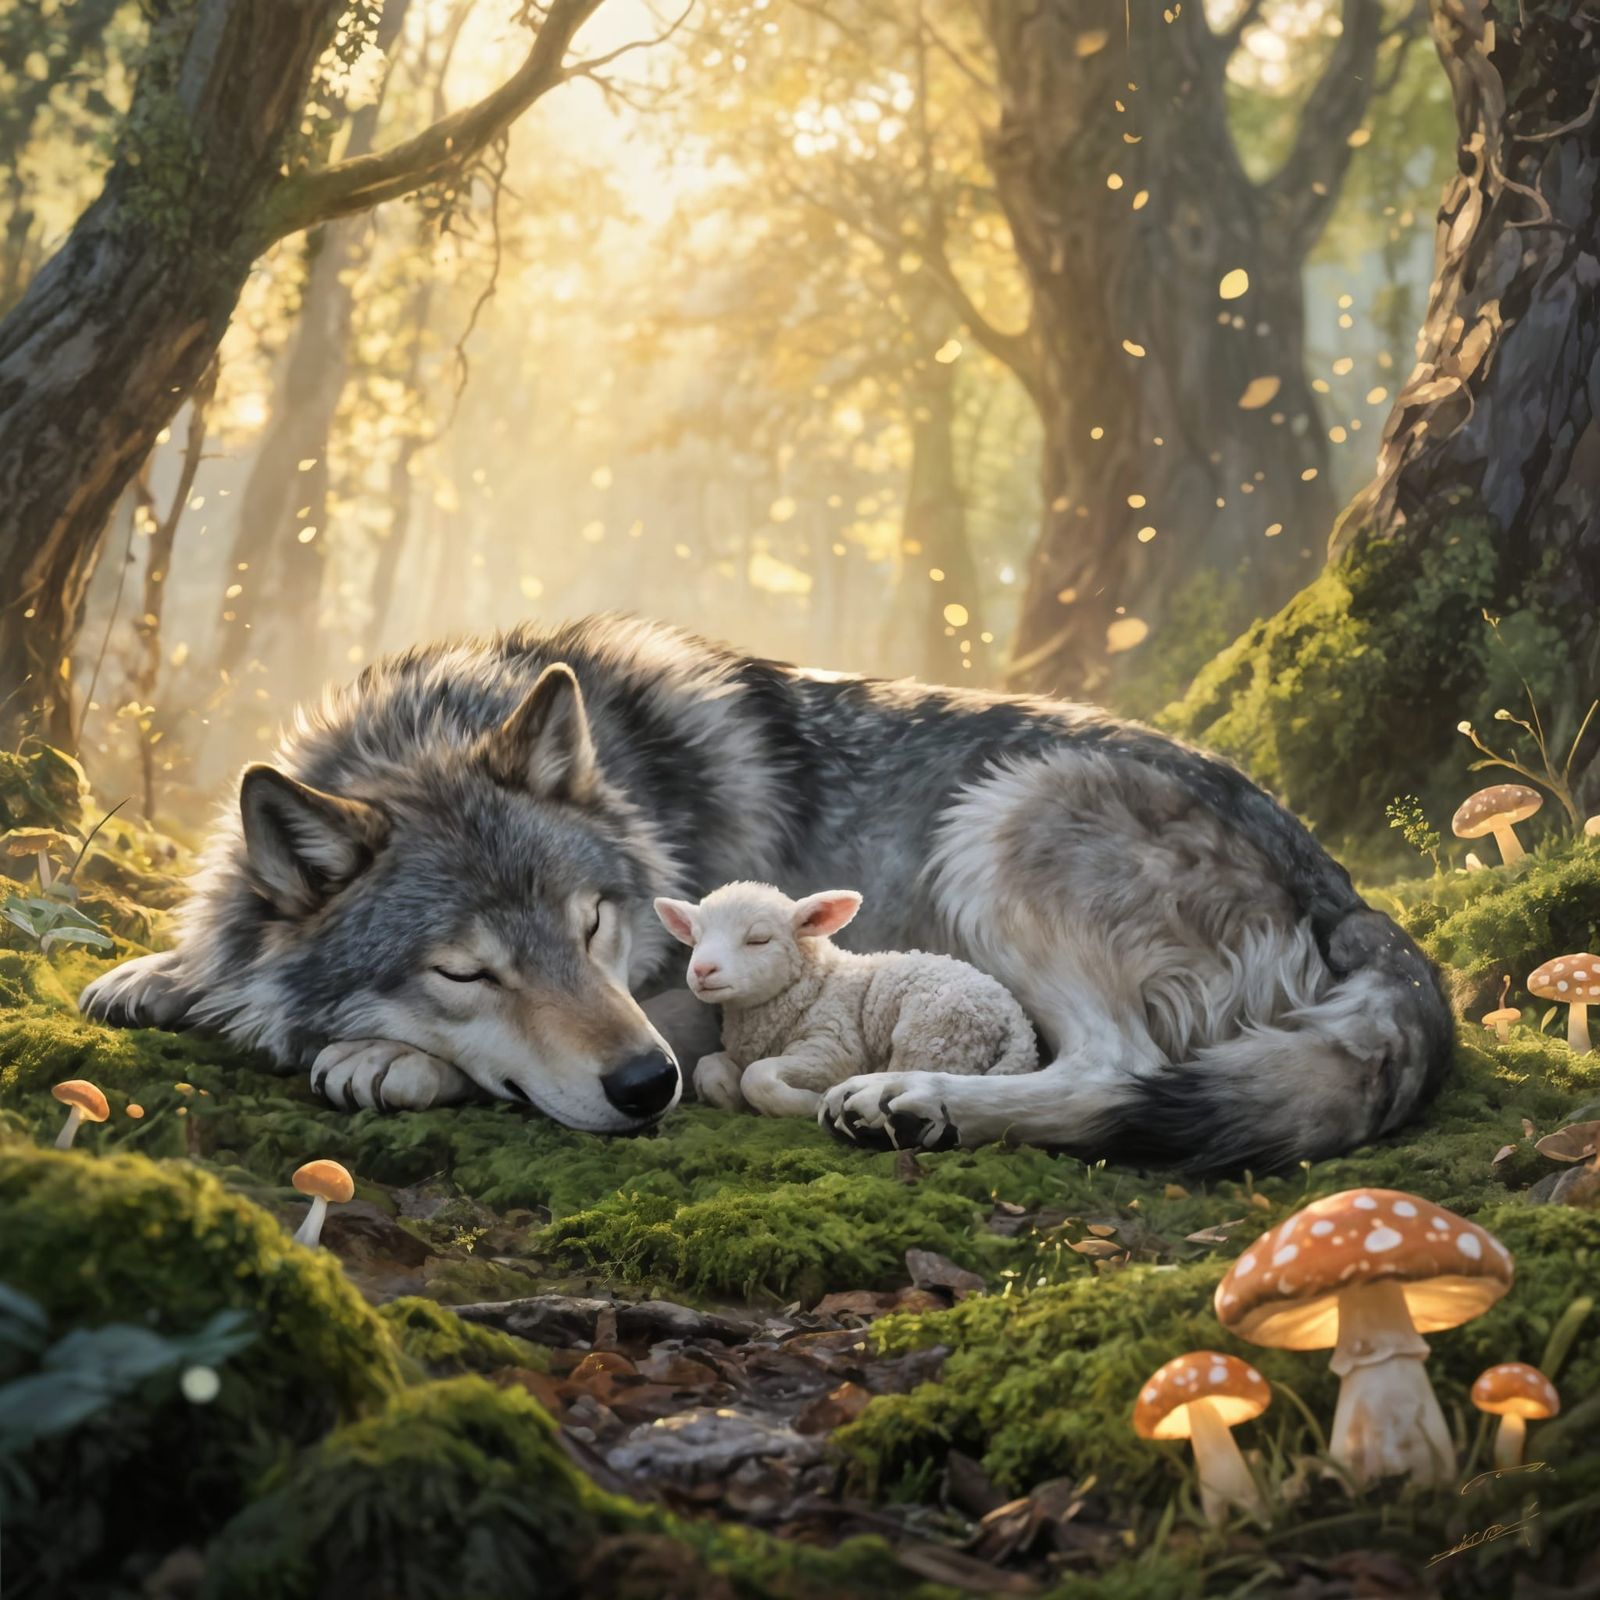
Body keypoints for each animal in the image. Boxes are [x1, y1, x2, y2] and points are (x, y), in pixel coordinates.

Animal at [653, 881, 1038, 1122]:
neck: (813, 985)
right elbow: (709, 1066)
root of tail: (1018, 1023)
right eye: (696, 939)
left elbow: (757, 1076)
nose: (702, 970)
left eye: (759, 940)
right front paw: (726, 1094)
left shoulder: (832, 1047)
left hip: (932, 1035)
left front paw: (807, 1103)